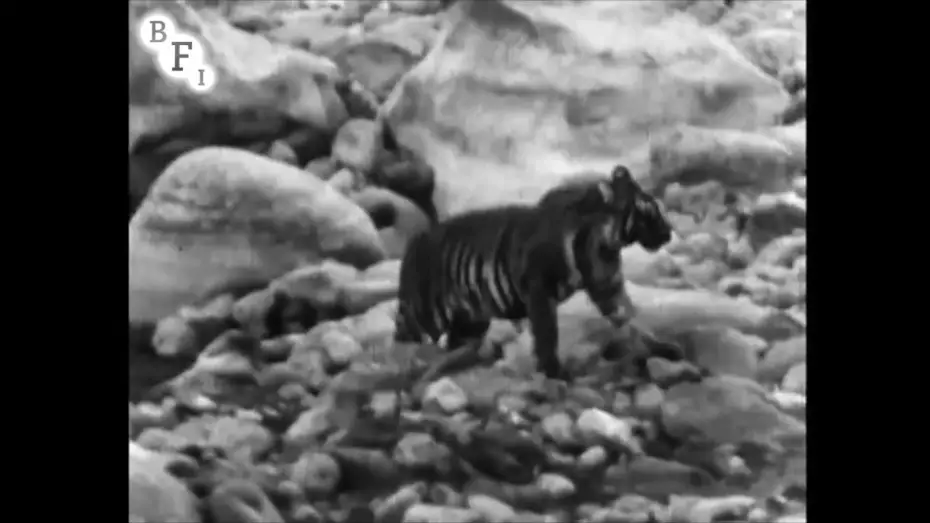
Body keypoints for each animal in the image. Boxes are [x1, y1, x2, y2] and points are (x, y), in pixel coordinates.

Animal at [393, 165, 673, 380]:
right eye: (649, 209)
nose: (669, 232)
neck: (604, 243)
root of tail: (414, 241)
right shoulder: (539, 290)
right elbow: (547, 334)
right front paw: (554, 372)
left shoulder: (609, 287)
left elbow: (633, 318)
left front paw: (661, 349)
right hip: (425, 315)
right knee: (403, 338)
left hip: (470, 320)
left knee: (454, 344)